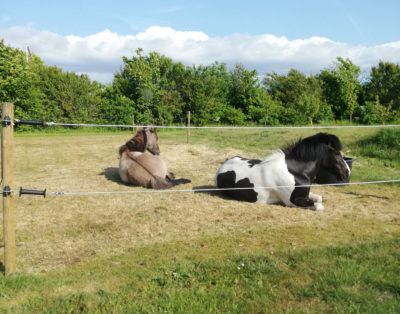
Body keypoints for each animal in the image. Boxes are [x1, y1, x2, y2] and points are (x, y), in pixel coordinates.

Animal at [216, 132, 350, 211]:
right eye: (337, 153)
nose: (347, 172)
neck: (295, 172)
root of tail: (222, 168)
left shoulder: (304, 194)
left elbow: (319, 198)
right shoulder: (292, 201)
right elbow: (318, 206)